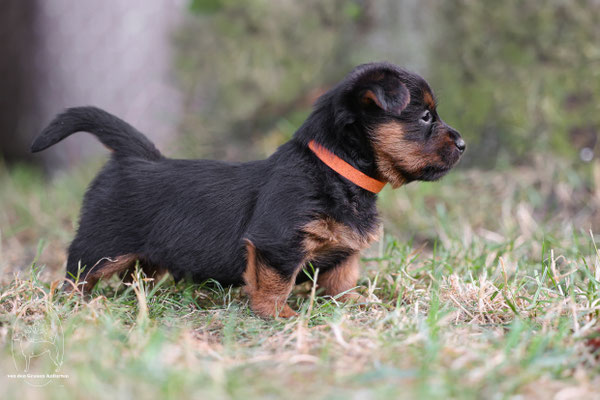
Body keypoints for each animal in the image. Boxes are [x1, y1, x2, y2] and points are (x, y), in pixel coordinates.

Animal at [31, 61, 464, 318]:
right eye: (426, 116)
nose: (462, 144)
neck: (334, 170)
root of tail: (136, 157)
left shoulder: (344, 252)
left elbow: (341, 279)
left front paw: (355, 302)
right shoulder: (278, 245)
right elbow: (276, 283)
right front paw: (279, 315)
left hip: (142, 257)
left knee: (137, 276)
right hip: (101, 246)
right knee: (77, 273)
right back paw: (71, 303)